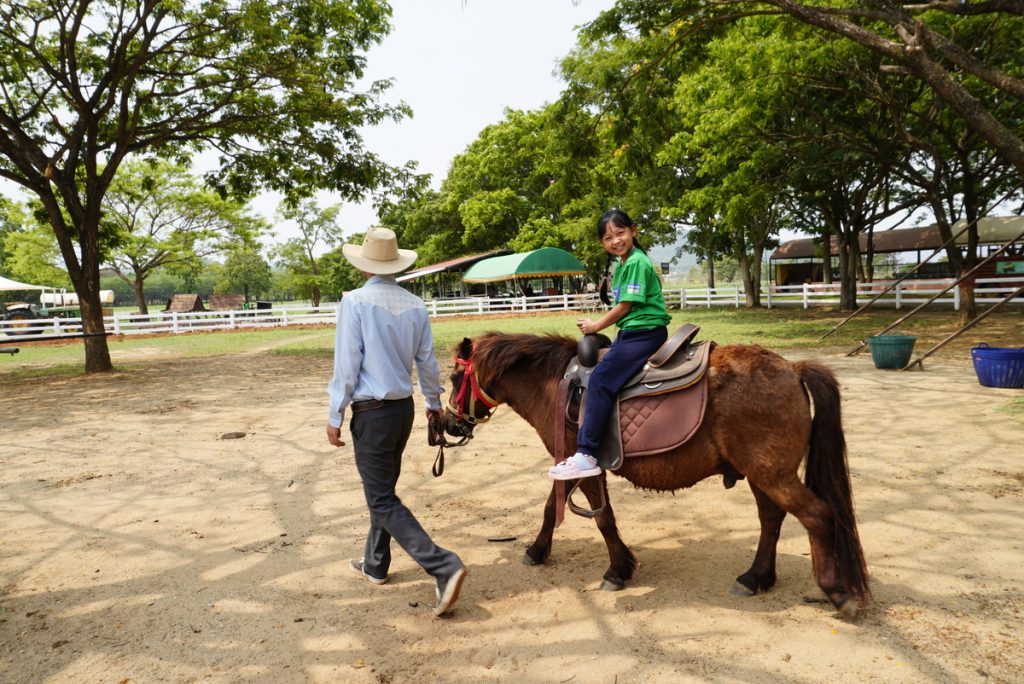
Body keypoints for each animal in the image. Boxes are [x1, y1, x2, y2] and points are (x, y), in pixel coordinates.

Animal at [442, 332, 870, 617]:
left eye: (452, 379)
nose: (447, 422)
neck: (556, 382)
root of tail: (793, 368)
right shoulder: (571, 464)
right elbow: (552, 509)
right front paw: (537, 550)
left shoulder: (586, 465)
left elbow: (603, 519)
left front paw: (618, 570)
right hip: (762, 474)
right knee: (772, 519)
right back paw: (755, 577)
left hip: (772, 474)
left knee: (817, 516)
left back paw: (837, 592)